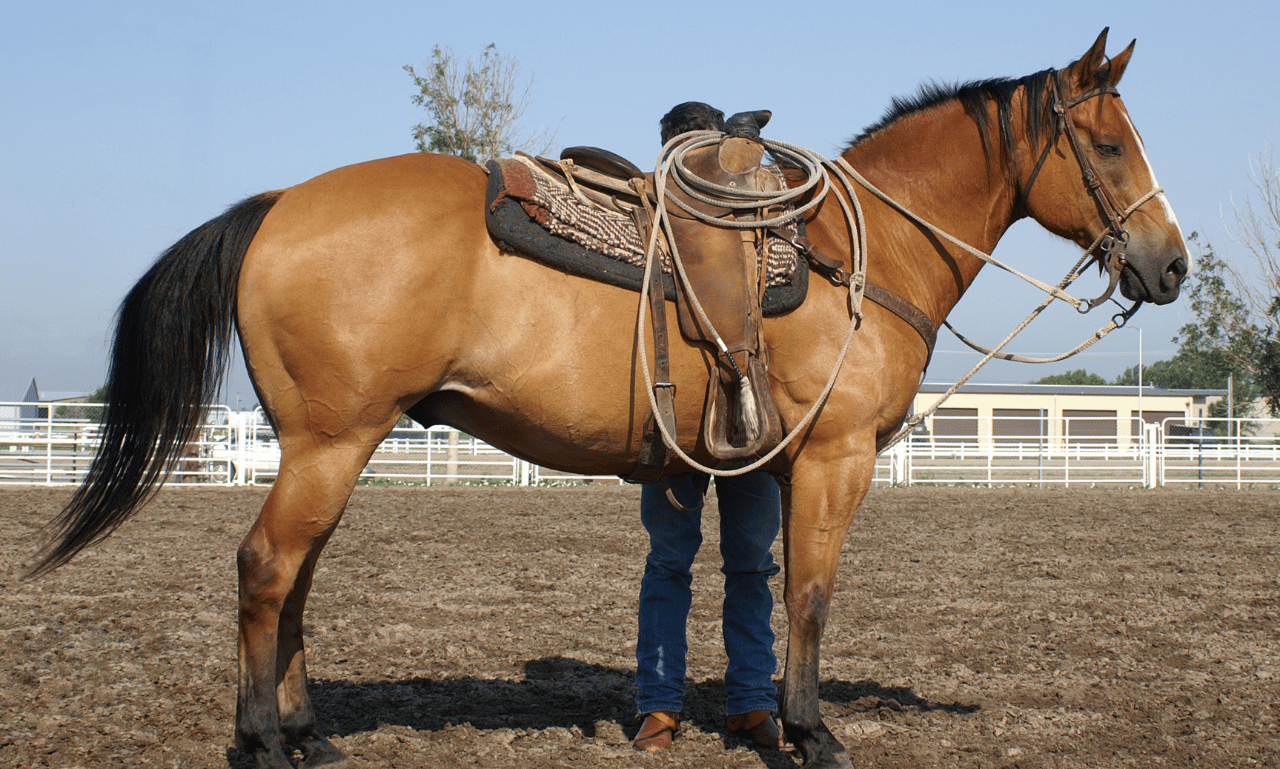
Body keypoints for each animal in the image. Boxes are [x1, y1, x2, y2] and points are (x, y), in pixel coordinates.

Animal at [33, 29, 1186, 769]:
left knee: (296, 577)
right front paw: (813, 733)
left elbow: (767, 589)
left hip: (324, 444)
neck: (853, 255)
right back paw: (264, 741)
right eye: (1108, 143)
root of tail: (277, 206)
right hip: (331, 440)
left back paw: (305, 730)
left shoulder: (773, 466)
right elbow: (812, 596)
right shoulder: (835, 458)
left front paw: (771, 721)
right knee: (267, 566)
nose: (1169, 264)